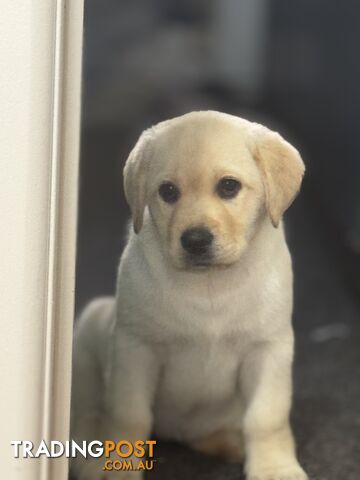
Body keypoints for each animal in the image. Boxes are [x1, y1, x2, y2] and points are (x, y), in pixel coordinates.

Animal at [72, 109, 306, 480]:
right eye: (168, 191)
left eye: (229, 186)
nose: (195, 240)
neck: (209, 284)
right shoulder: (134, 347)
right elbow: (128, 414)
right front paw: (117, 465)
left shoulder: (269, 348)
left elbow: (266, 418)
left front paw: (274, 467)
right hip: (90, 332)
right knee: (89, 406)